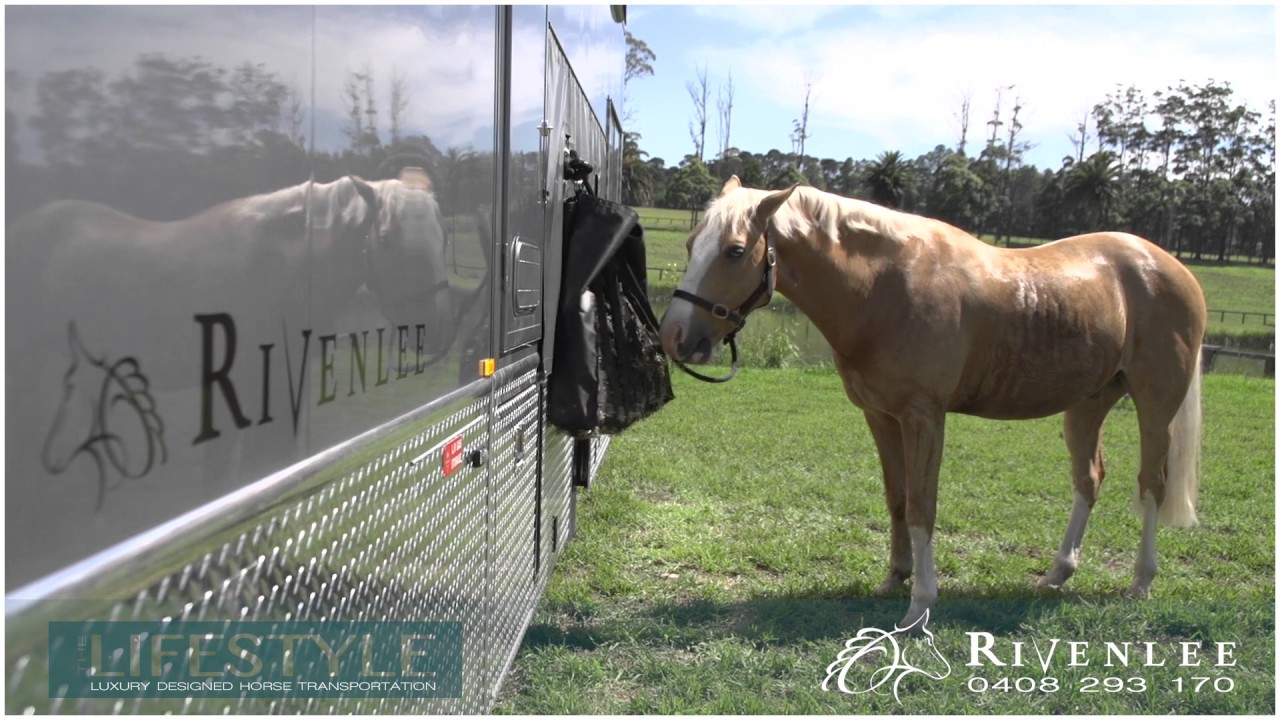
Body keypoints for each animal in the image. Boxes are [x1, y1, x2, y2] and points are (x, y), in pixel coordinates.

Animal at [658, 176, 1207, 628]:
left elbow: (923, 505)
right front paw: (894, 578)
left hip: (1156, 404)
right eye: (690, 244)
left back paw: (1141, 581)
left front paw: (920, 603)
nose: (675, 336)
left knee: (1152, 484)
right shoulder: (881, 416)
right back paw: (1057, 574)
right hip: (1087, 404)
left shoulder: (924, 418)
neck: (883, 289)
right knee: (1088, 479)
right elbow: (897, 498)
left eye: (734, 250)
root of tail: (1173, 268)